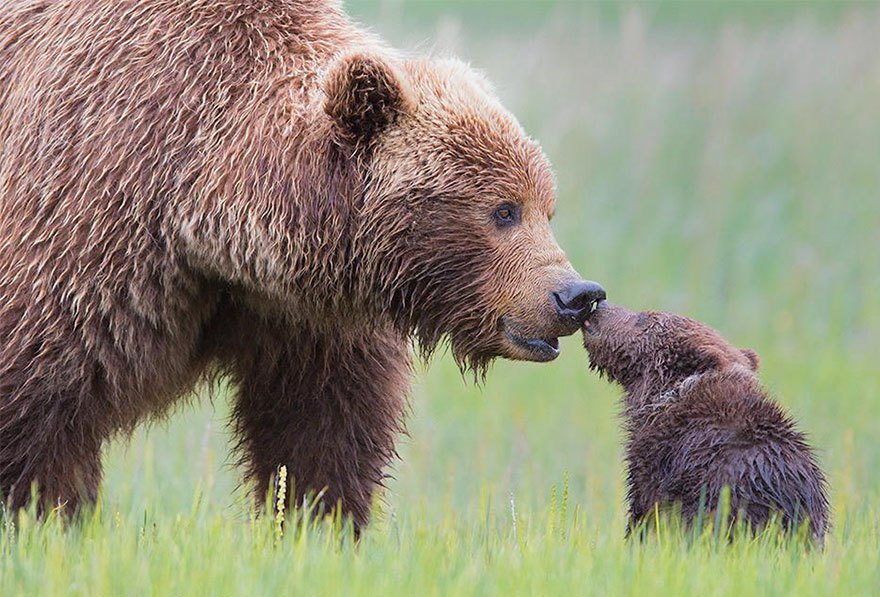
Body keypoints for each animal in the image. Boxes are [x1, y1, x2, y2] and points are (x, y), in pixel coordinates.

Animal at [0, 0, 606, 529]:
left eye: (546, 207)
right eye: (504, 210)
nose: (576, 295)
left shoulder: (306, 314)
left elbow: (321, 427)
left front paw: (317, 525)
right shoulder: (89, 221)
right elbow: (39, 402)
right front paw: (43, 517)